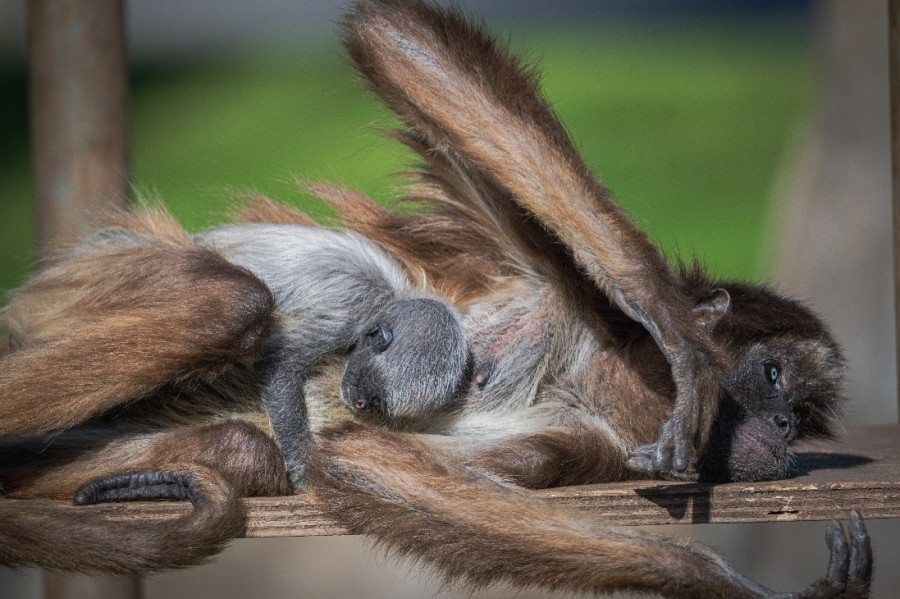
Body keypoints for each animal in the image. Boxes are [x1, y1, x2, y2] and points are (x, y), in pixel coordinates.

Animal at [0, 1, 872, 599]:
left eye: (805, 412)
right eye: (772, 377)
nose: (786, 427)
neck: (595, 378)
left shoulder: (593, 445)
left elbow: (364, 461)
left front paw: (720, 581)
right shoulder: (561, 290)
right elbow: (398, 34)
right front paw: (675, 326)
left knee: (242, 442)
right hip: (96, 278)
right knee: (227, 303)